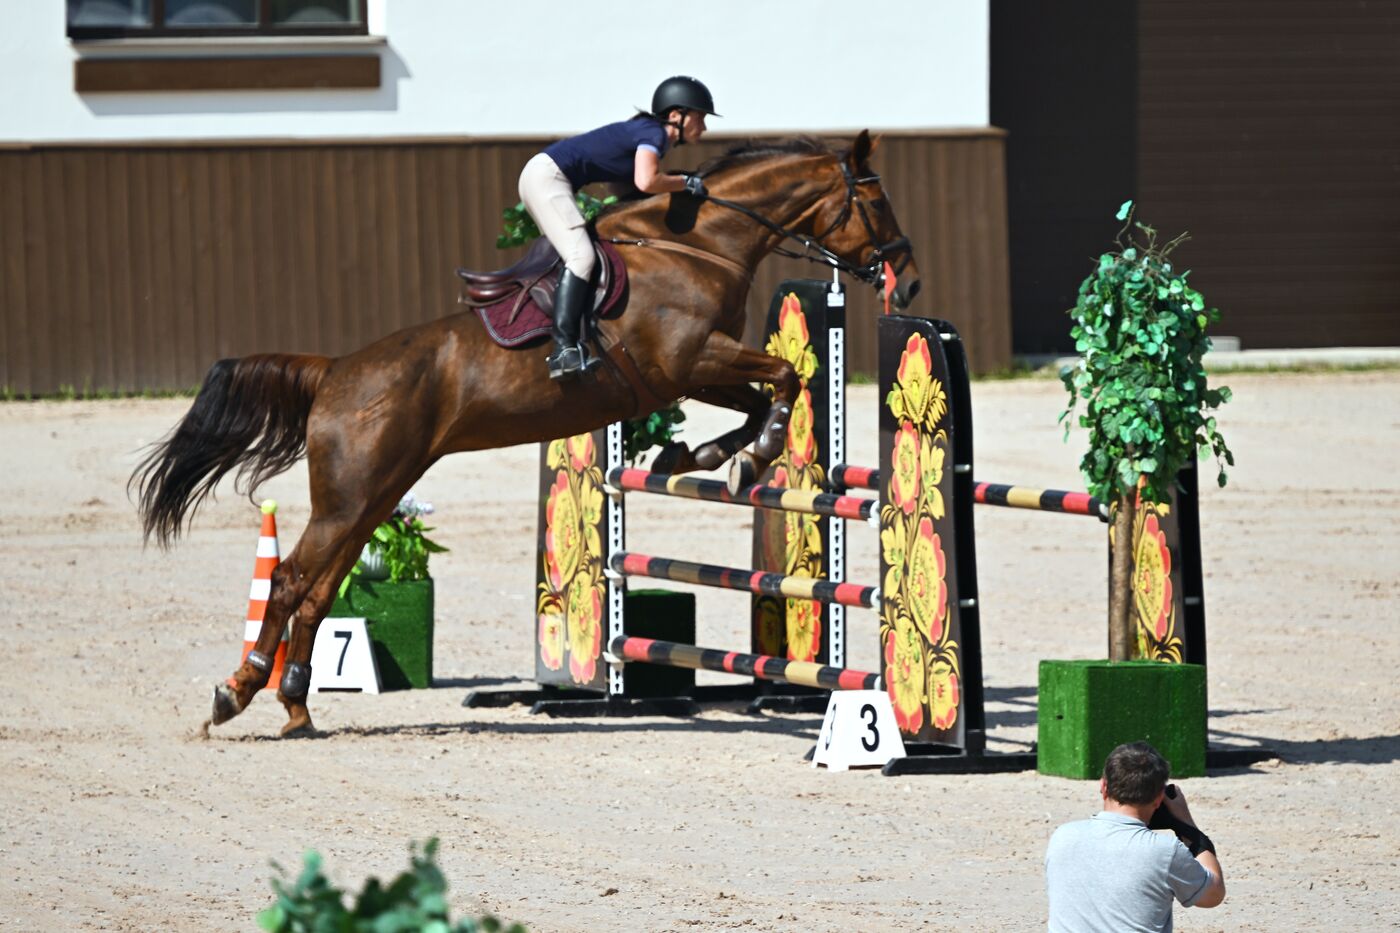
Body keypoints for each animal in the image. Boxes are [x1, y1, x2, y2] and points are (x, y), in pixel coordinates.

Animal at [131, 127, 918, 734]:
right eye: (876, 199)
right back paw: (236, 693)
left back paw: (294, 707)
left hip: (374, 495)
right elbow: (784, 376)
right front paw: (751, 455)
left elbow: (760, 396)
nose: (906, 281)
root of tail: (333, 371)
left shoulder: (688, 373)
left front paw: (707, 454)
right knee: (292, 577)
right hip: (351, 495)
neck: (700, 243)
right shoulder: (689, 359)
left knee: (318, 587)